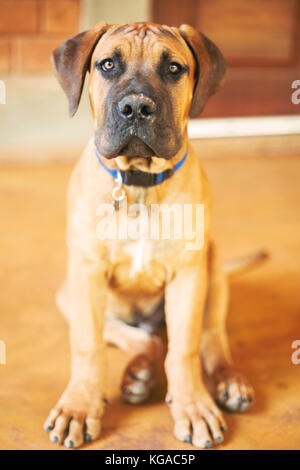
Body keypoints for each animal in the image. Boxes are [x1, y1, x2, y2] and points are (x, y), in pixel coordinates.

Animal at [44, 21, 255, 448]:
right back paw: (139, 374)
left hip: (212, 268)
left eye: (174, 68)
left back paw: (228, 381)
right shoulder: (87, 273)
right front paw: (79, 405)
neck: (139, 182)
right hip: (70, 295)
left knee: (210, 339)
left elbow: (185, 349)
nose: (137, 108)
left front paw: (193, 404)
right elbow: (88, 346)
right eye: (108, 65)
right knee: (142, 339)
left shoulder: (189, 275)